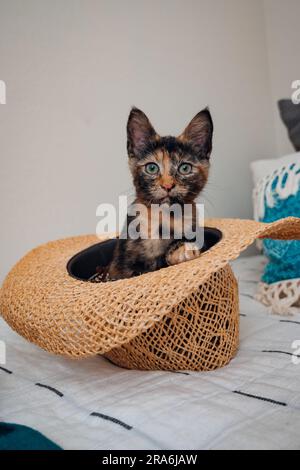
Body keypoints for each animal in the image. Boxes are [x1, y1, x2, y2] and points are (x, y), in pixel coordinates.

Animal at [108, 107, 213, 280]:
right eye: (152, 168)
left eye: (185, 168)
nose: (167, 185)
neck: (165, 217)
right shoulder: (121, 265)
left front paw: (181, 249)